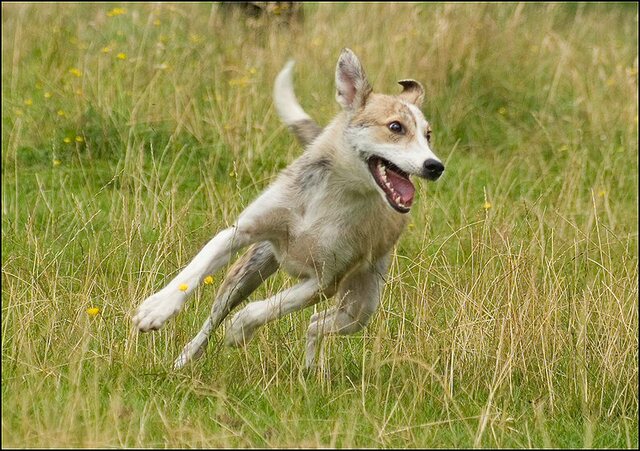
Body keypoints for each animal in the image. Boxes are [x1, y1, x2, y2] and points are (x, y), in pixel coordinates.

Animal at [134, 48, 444, 370]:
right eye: (396, 127)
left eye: (428, 135)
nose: (435, 166)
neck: (334, 192)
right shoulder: (243, 230)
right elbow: (197, 266)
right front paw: (157, 308)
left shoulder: (324, 282)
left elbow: (266, 308)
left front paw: (239, 330)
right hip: (249, 270)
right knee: (214, 318)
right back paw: (184, 359)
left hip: (359, 307)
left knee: (316, 322)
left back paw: (309, 370)